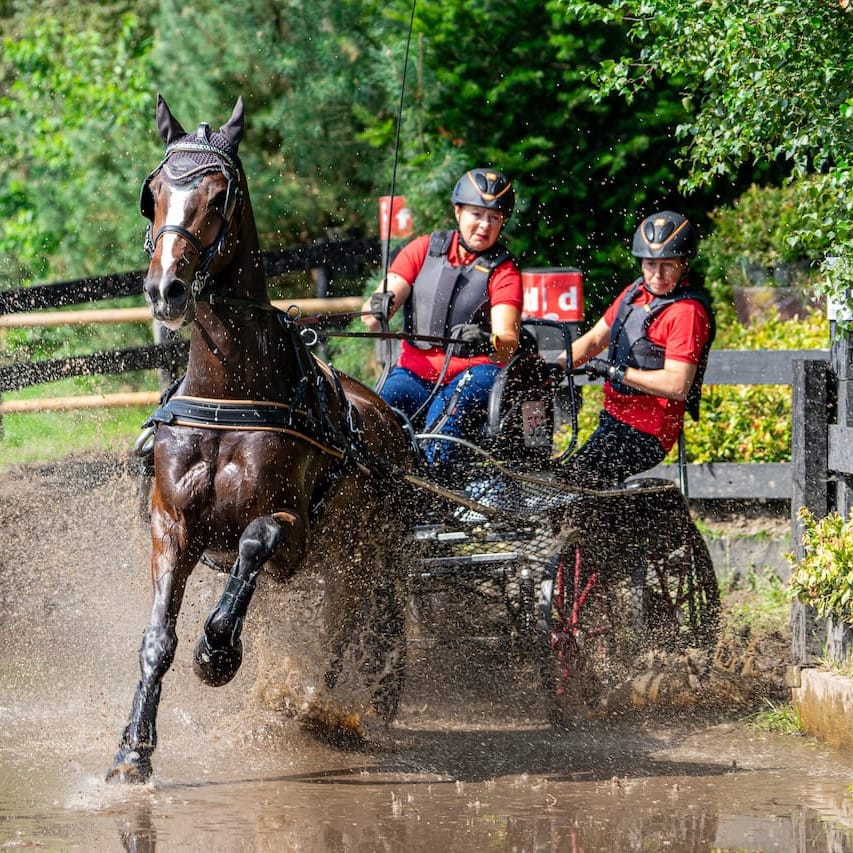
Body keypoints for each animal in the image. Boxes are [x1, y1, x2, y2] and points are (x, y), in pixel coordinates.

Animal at [107, 95, 413, 784]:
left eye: (220, 195)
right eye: (153, 193)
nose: (164, 289)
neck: (229, 396)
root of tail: (392, 423)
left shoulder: (292, 536)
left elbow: (254, 541)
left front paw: (217, 652)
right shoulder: (171, 523)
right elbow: (156, 638)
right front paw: (133, 751)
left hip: (367, 559)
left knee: (361, 630)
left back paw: (338, 711)